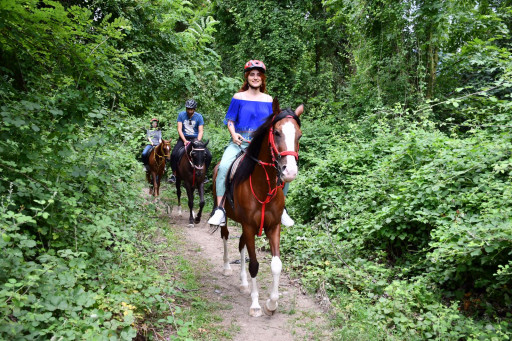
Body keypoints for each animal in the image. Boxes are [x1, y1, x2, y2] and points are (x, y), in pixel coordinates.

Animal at [212, 98, 304, 316]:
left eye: (299, 135)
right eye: (277, 133)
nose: (290, 171)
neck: (263, 188)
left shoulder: (273, 227)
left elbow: (276, 264)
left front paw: (272, 303)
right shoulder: (248, 226)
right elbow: (254, 264)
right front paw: (256, 305)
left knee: (241, 245)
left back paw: (244, 284)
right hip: (230, 219)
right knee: (226, 237)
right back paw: (227, 267)